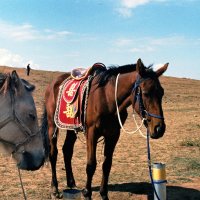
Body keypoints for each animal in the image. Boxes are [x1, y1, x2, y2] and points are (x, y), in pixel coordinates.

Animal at [41, 58, 169, 199]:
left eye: (162, 93)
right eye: (145, 93)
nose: (159, 129)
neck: (108, 99)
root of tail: (52, 84)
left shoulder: (113, 135)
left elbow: (107, 165)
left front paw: (103, 194)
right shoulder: (92, 133)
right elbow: (91, 165)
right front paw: (87, 193)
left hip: (71, 127)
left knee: (67, 150)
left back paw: (71, 183)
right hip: (52, 125)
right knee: (53, 154)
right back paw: (54, 189)